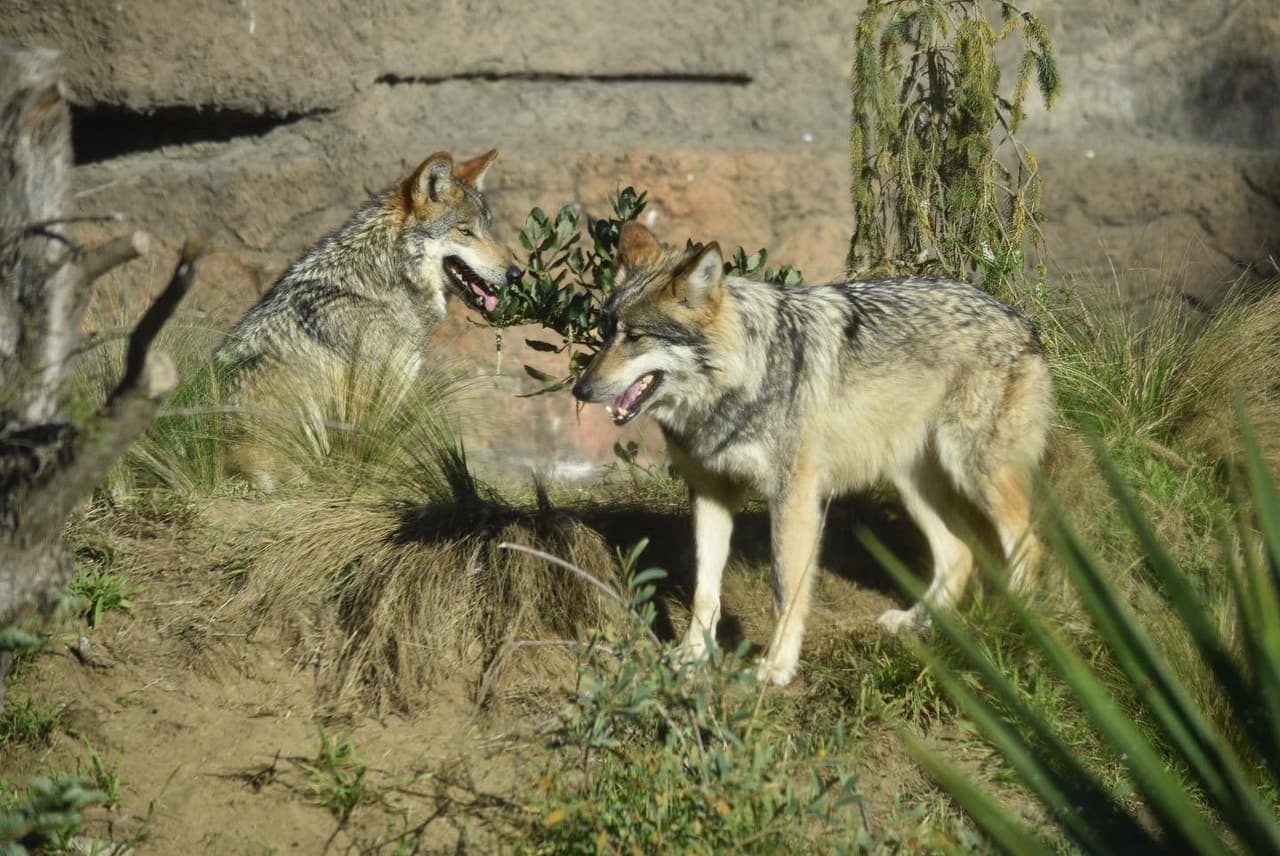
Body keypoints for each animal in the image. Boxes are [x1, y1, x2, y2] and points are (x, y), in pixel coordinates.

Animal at [572, 222, 1052, 686]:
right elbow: (704, 588)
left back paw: (1012, 629)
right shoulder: (710, 493)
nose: (580, 390)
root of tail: (1021, 319)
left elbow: (785, 590)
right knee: (959, 554)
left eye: (636, 337)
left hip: (974, 470)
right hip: (912, 482)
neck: (740, 378)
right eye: (605, 332)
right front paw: (693, 657)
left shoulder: (794, 497)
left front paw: (777, 668)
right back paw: (918, 624)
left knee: (1029, 545)